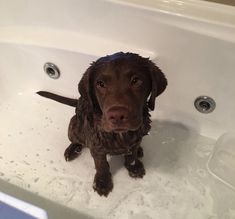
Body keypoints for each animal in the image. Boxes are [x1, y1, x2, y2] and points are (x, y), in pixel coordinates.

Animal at [37, 51, 167, 197]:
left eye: (136, 80)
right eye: (100, 84)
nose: (117, 116)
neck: (120, 135)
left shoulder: (136, 137)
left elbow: (131, 155)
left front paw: (134, 167)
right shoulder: (96, 147)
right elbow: (102, 165)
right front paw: (102, 182)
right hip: (74, 125)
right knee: (76, 139)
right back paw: (72, 150)